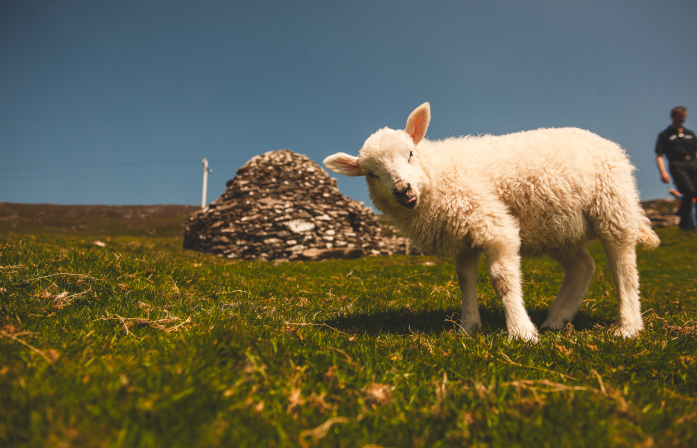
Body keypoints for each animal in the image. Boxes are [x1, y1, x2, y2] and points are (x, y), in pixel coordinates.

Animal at [322, 102, 656, 340]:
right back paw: (556, 318)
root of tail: (609, 144)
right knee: (582, 266)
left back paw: (628, 326)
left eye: (411, 154)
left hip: (612, 204)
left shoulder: (491, 222)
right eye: (371, 174)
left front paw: (521, 332)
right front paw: (468, 326)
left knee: (623, 265)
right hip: (557, 227)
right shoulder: (461, 232)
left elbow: (502, 279)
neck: (439, 176)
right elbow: (464, 279)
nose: (403, 190)